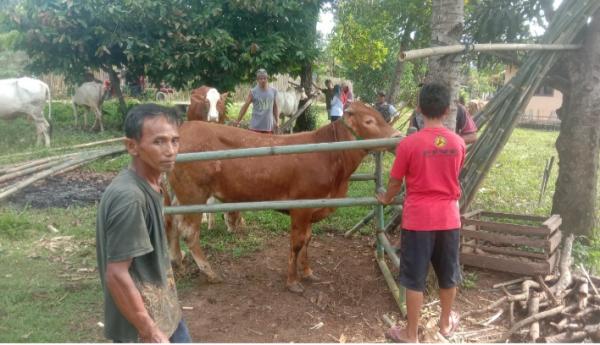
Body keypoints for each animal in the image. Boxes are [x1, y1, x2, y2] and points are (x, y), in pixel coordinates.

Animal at [165, 101, 398, 292]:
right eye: (369, 121)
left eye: (381, 116)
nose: (397, 137)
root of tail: (185, 128)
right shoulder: (301, 207)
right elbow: (297, 243)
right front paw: (293, 281)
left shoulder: (312, 209)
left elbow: (308, 239)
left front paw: (307, 272)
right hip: (194, 195)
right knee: (189, 233)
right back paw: (210, 272)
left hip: (181, 195)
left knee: (172, 221)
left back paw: (177, 260)